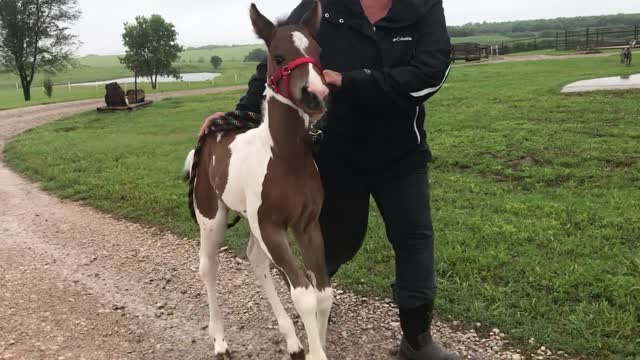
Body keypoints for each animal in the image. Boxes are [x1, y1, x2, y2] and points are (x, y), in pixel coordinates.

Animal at [182, 1, 332, 358]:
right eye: (278, 56)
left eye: (318, 51)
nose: (317, 95)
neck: (285, 159)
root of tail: (211, 133)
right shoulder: (271, 227)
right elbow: (304, 295)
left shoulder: (307, 225)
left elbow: (322, 292)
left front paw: (314, 345)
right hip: (211, 217)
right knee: (208, 267)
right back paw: (220, 340)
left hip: (250, 220)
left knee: (255, 260)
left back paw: (291, 340)